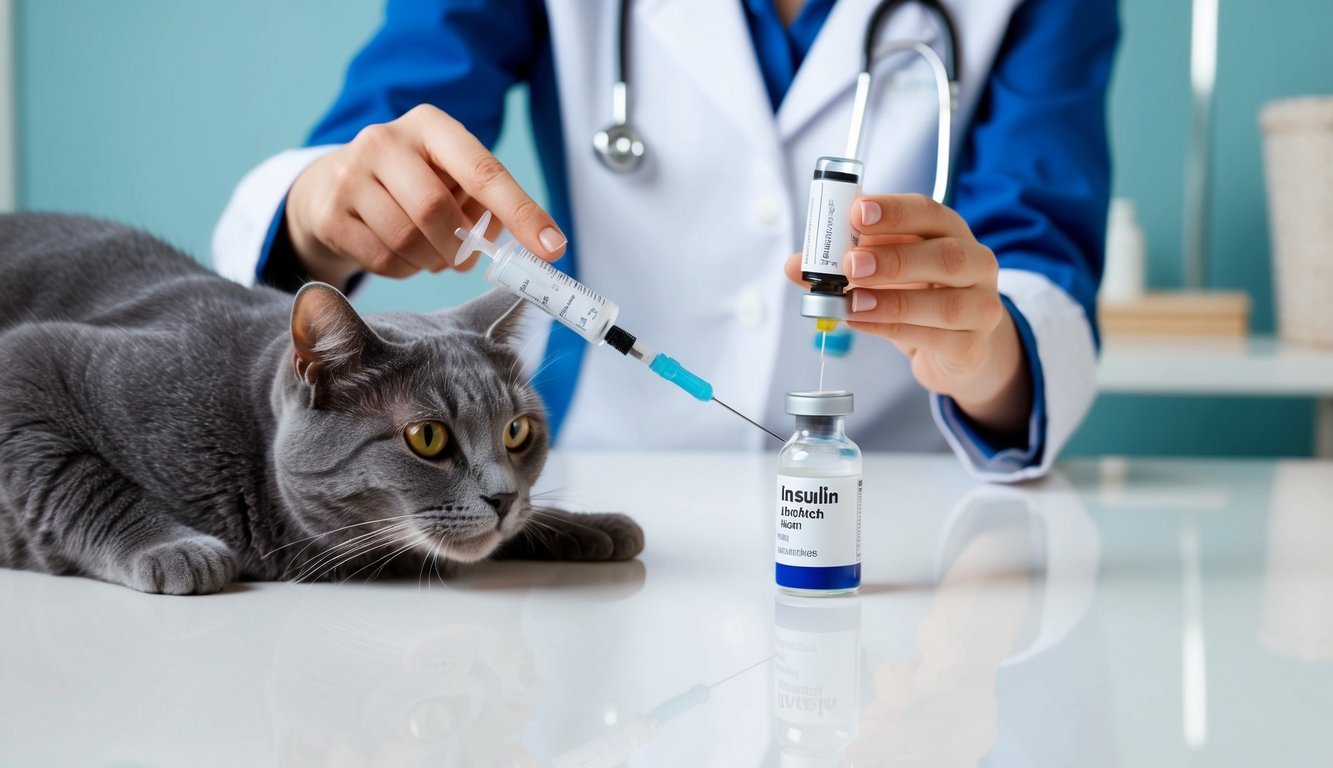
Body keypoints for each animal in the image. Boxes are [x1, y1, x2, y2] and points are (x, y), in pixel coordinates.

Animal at [0, 213, 639, 597]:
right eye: (427, 438)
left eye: (517, 432)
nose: (504, 499)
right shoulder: (29, 361)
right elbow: (78, 479)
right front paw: (175, 549)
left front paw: (591, 526)